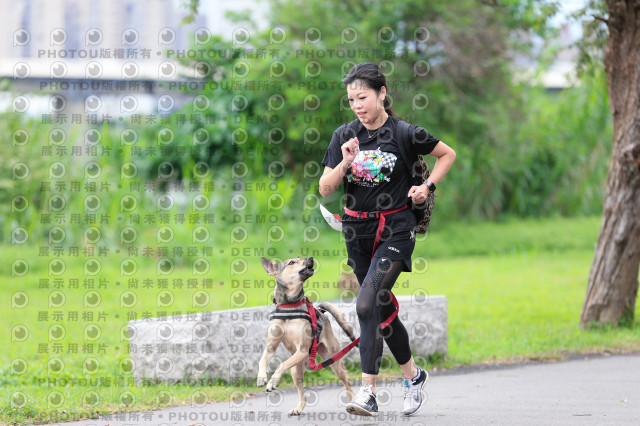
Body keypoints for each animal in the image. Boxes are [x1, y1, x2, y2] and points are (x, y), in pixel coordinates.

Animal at [255, 256, 356, 416]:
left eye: (300, 258)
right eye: (291, 262)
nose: (310, 258)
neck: (289, 306)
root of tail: (321, 311)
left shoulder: (302, 349)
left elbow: (281, 365)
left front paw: (273, 381)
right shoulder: (271, 346)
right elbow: (262, 360)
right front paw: (261, 377)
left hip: (333, 361)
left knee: (347, 381)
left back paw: (352, 402)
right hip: (295, 371)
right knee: (302, 393)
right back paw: (298, 408)